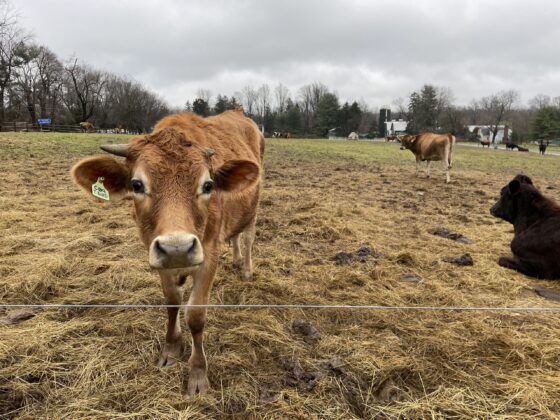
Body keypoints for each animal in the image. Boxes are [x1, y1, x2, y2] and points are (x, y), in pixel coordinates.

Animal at [71, 110, 264, 396]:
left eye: (208, 185)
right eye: (136, 184)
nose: (177, 248)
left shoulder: (209, 255)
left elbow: (195, 315)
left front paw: (197, 372)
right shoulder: (156, 255)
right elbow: (172, 300)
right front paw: (172, 348)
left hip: (253, 208)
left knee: (248, 236)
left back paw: (247, 269)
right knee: (236, 236)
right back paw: (237, 260)